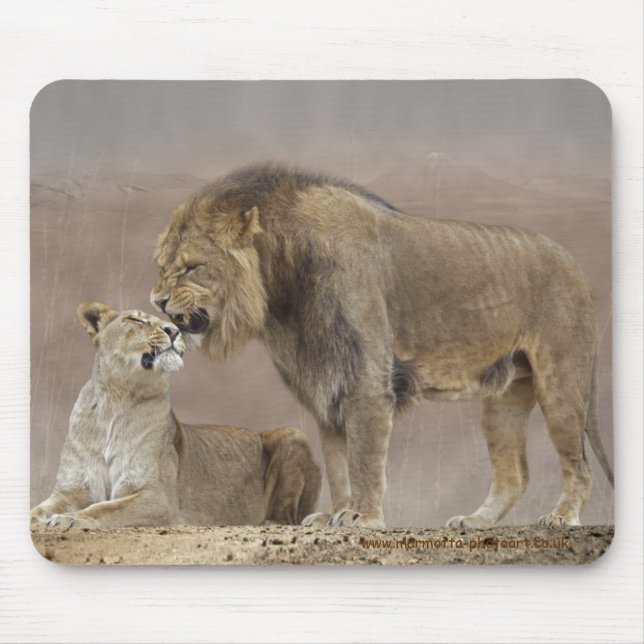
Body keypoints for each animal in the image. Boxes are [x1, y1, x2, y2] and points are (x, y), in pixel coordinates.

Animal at [30, 301, 321, 529]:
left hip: (293, 435)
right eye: (135, 319)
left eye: (169, 323)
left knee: (288, 517)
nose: (174, 331)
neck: (116, 400)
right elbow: (37, 510)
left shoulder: (158, 497)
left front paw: (71, 519)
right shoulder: (70, 490)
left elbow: (104, 508)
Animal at [150, 161, 613, 529]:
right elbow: (337, 462)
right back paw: (476, 521)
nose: (156, 301)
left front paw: (363, 516)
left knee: (580, 465)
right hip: (504, 396)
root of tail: (577, 266)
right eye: (161, 267)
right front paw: (335, 513)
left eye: (191, 267)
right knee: (514, 473)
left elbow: (364, 457)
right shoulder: (325, 382)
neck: (281, 295)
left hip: (561, 382)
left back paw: (562, 517)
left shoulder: (366, 380)